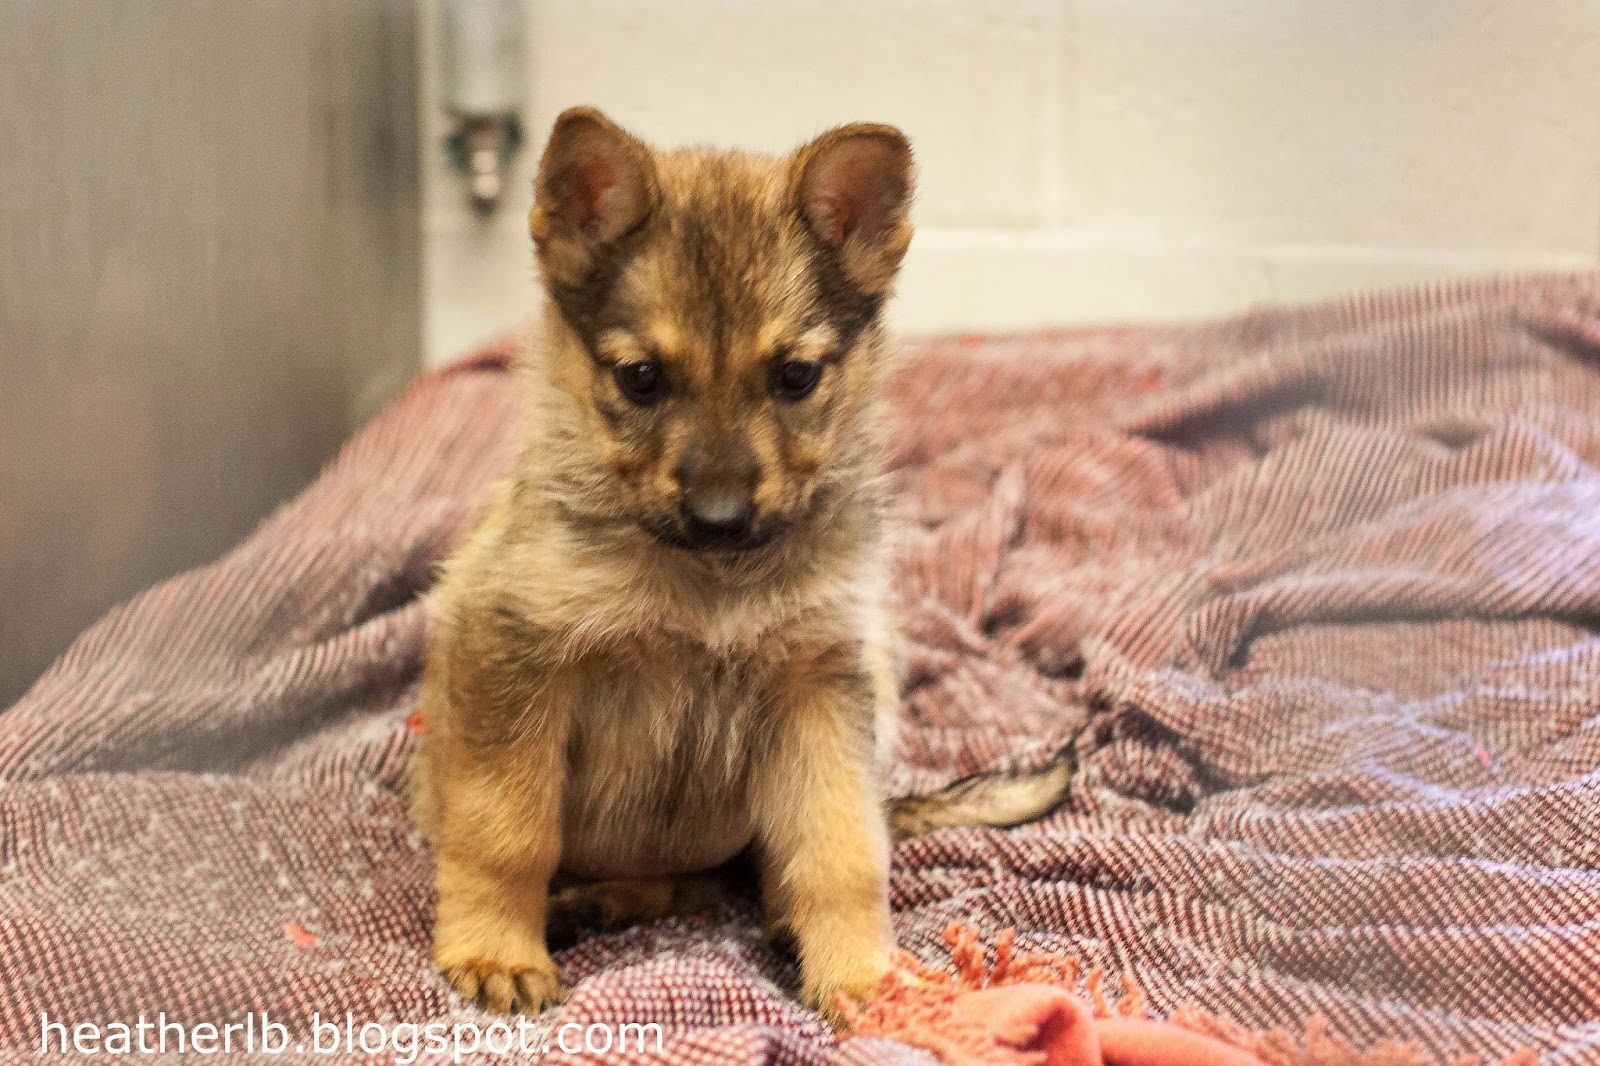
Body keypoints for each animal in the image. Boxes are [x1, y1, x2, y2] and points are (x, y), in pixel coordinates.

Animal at [411, 107, 1072, 1025]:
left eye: (795, 376)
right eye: (641, 378)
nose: (720, 519)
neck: (707, 585)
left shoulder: (820, 688)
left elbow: (842, 849)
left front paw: (862, 977)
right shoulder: (515, 657)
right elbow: (506, 830)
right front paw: (497, 951)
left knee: (737, 874)